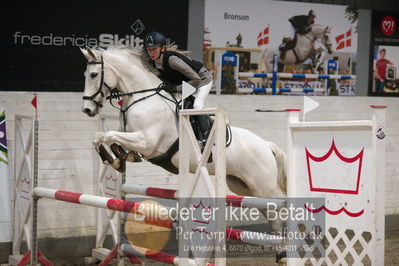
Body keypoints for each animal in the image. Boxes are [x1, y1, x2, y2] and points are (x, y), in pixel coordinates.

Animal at [79, 45, 290, 262]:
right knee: (271, 213)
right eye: (86, 74)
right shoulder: (132, 137)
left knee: (281, 206)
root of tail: (266, 144)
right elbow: (103, 137)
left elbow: (108, 135)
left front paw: (113, 158)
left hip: (263, 185)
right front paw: (117, 159)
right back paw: (281, 252)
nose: (87, 109)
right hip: (244, 186)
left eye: (94, 74)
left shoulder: (146, 141)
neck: (142, 98)